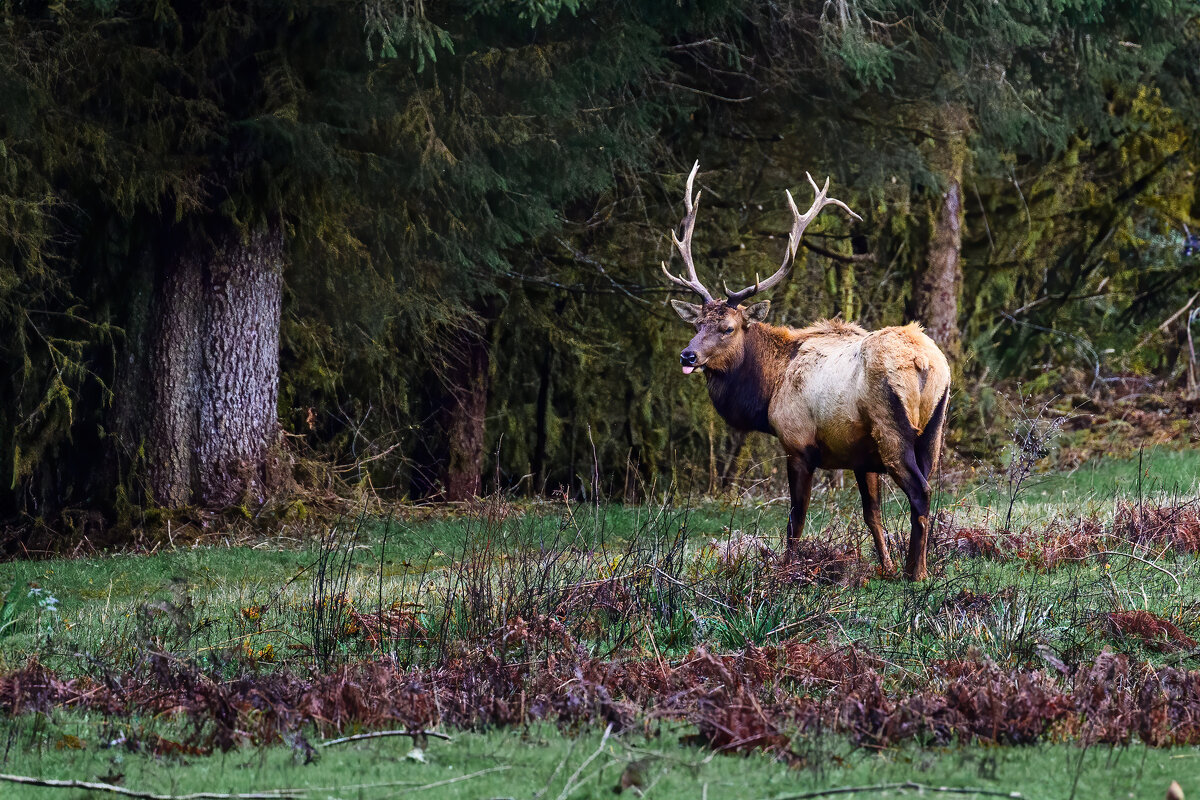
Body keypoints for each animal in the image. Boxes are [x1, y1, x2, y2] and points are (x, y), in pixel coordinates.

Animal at [667, 163, 945, 578]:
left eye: (728, 328)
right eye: (697, 324)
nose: (687, 356)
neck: (768, 390)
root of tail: (925, 362)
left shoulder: (798, 443)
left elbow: (794, 521)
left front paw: (788, 571)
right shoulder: (861, 457)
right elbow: (873, 516)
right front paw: (884, 567)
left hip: (893, 428)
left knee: (920, 492)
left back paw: (917, 572)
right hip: (934, 428)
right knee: (929, 489)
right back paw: (915, 568)